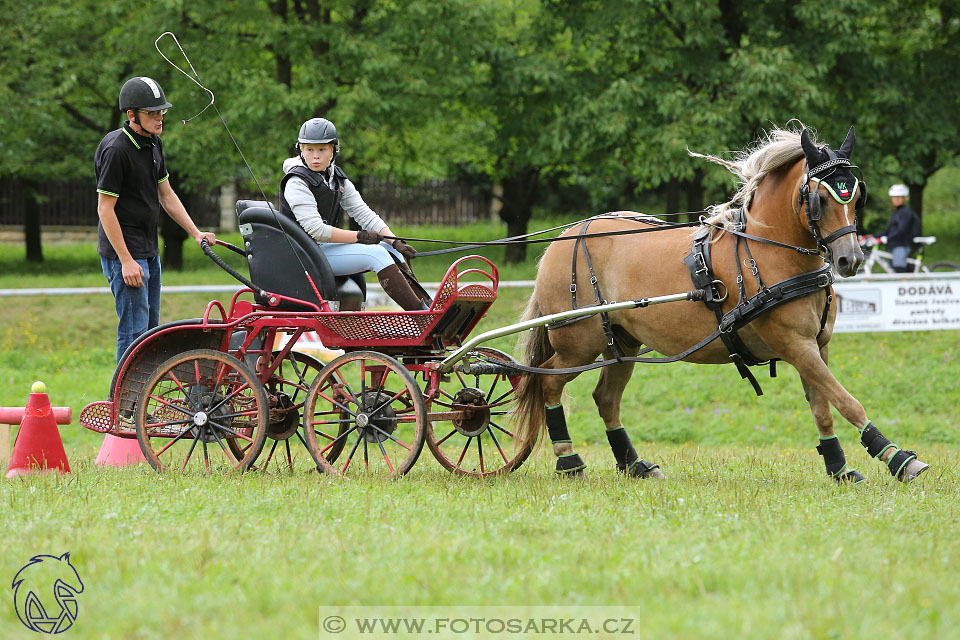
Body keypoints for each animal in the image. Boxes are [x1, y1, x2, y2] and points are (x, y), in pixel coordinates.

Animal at [516, 125, 928, 482]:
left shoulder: (816, 346)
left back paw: (633, 464)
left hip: (622, 343)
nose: (850, 259)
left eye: (856, 196)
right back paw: (568, 459)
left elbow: (823, 407)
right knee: (548, 382)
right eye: (820, 199)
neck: (769, 253)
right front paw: (897, 457)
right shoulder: (795, 345)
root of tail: (566, 236)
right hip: (578, 342)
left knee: (605, 398)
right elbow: (846, 401)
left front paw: (839, 468)